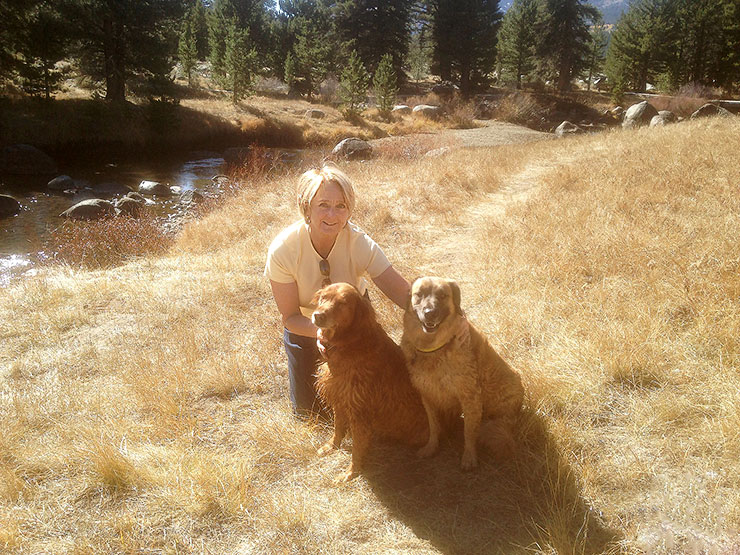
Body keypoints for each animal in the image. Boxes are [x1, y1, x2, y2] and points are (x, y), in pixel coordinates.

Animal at [310, 282, 428, 482]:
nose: (318, 315)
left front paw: (351, 472)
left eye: (342, 303)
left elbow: (357, 447)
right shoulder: (339, 398)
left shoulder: (359, 410)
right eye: (323, 297)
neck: (349, 343)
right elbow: (338, 428)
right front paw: (332, 446)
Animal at [398, 276, 528, 472]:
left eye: (442, 295)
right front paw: (431, 447)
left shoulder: (470, 397)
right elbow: (433, 426)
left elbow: (469, 431)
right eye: (419, 294)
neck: (433, 349)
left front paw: (469, 457)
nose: (430, 313)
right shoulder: (427, 395)